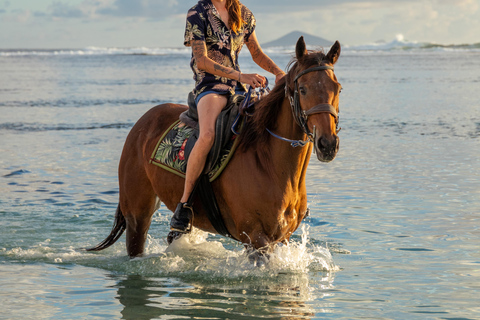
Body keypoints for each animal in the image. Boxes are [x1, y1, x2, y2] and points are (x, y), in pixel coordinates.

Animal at [86, 37, 342, 258]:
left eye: (337, 88)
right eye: (303, 89)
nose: (327, 144)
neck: (270, 163)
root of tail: (142, 123)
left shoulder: (282, 239)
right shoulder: (255, 238)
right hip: (137, 215)